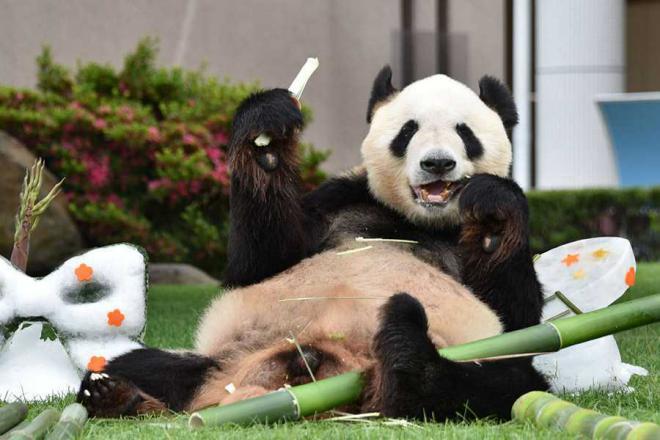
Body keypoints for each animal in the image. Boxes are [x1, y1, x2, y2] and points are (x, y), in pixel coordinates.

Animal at [80, 65, 548, 420]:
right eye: (408, 131)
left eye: (465, 133)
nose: (437, 163)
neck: (418, 220)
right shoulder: (338, 202)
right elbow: (261, 262)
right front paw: (266, 137)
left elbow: (517, 313)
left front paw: (492, 214)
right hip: (229, 355)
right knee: (143, 365)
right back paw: (118, 395)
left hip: (476, 354)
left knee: (505, 381)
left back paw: (409, 364)